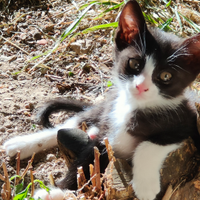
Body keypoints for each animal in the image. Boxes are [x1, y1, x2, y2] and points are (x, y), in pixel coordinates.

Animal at [3, 0, 200, 199]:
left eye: (166, 76)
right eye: (134, 64)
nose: (140, 86)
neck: (132, 107)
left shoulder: (187, 121)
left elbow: (149, 144)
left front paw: (145, 186)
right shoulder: (105, 134)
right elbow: (86, 161)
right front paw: (56, 192)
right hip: (104, 109)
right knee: (71, 123)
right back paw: (20, 144)